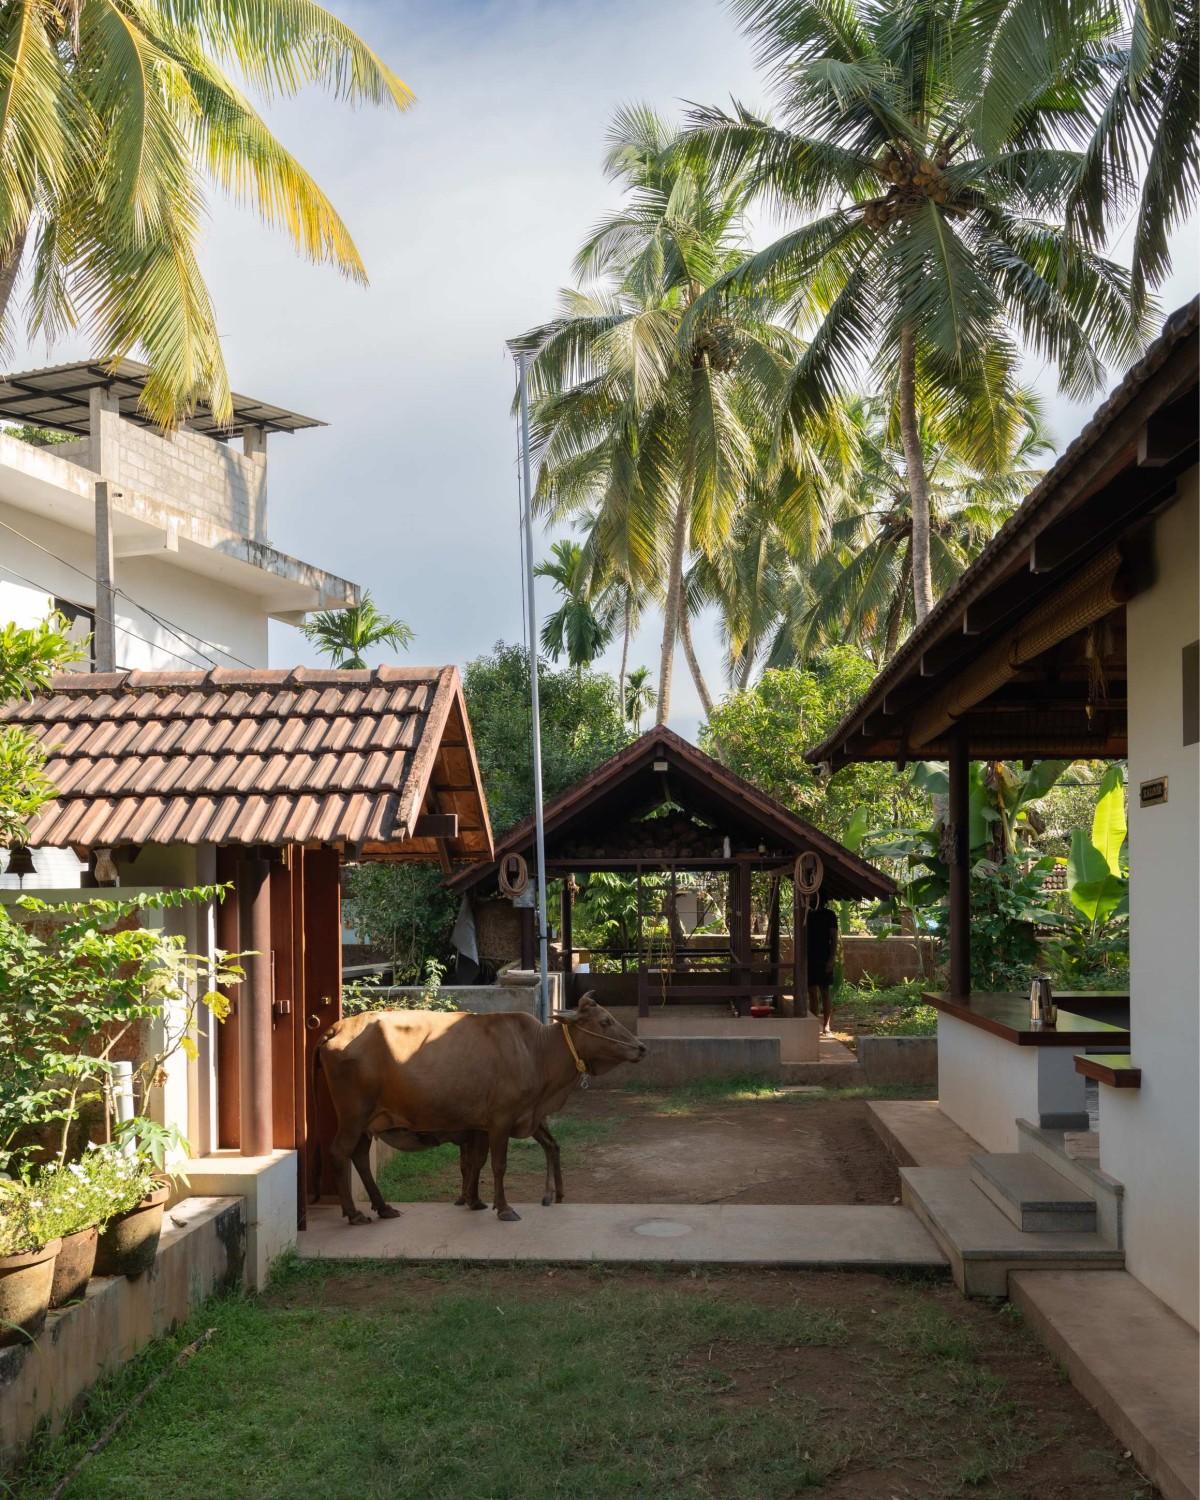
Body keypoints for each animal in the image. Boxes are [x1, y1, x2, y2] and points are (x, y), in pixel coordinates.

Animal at [313, 996, 642, 1218]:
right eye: (605, 1021)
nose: (641, 1048)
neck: (536, 1050)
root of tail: (338, 1026)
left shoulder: (484, 1124)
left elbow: (477, 1162)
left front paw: (476, 1200)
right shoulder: (500, 1119)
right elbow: (498, 1165)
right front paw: (503, 1208)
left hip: (368, 1121)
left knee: (359, 1157)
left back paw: (383, 1207)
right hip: (353, 1115)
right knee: (340, 1153)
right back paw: (354, 1213)